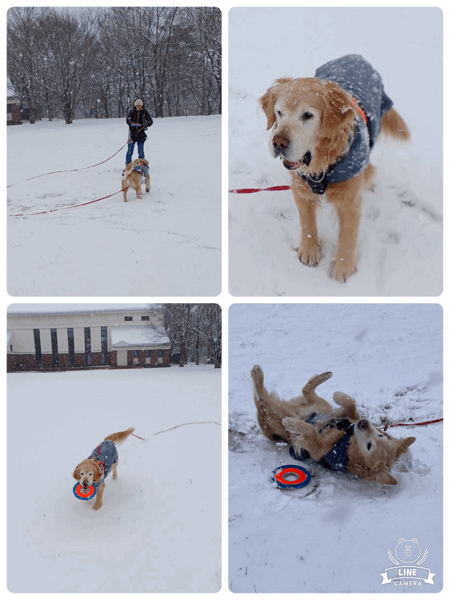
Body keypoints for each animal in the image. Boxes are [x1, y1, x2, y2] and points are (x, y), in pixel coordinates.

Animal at [250, 364, 414, 486]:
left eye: (369, 446)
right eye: (379, 435)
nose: (364, 423)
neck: (346, 440)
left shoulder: (316, 448)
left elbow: (310, 430)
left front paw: (293, 423)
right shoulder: (347, 416)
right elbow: (351, 404)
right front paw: (339, 395)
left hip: (277, 414)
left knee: (264, 400)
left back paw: (257, 375)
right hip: (323, 406)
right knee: (306, 390)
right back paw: (324, 376)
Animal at [258, 54, 410, 284]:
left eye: (307, 115)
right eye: (279, 112)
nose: (279, 143)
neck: (322, 165)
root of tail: (356, 56)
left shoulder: (349, 199)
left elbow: (347, 234)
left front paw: (343, 268)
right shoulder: (301, 188)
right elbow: (307, 223)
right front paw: (309, 251)